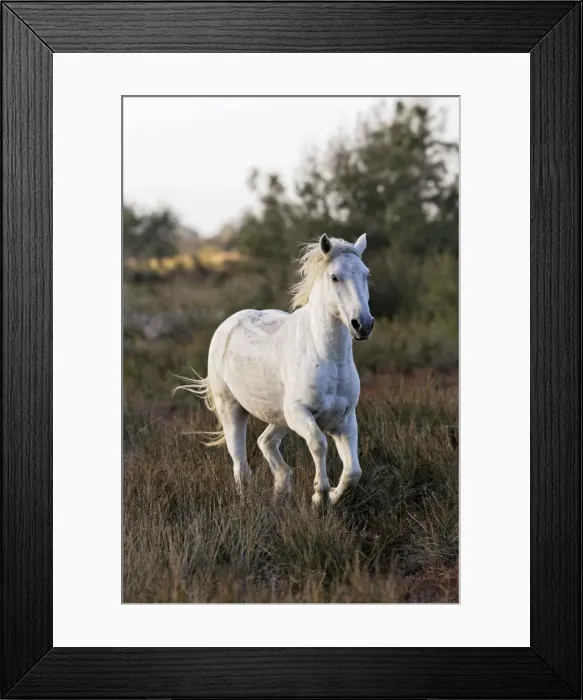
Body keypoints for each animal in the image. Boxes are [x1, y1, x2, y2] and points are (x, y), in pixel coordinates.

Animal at [175, 233, 374, 506]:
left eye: (366, 275)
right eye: (335, 277)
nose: (362, 325)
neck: (328, 358)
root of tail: (229, 323)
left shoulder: (344, 420)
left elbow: (353, 471)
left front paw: (332, 497)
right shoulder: (300, 413)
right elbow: (319, 444)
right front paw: (318, 495)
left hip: (279, 417)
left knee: (265, 442)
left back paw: (280, 491)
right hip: (232, 409)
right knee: (240, 463)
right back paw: (248, 501)